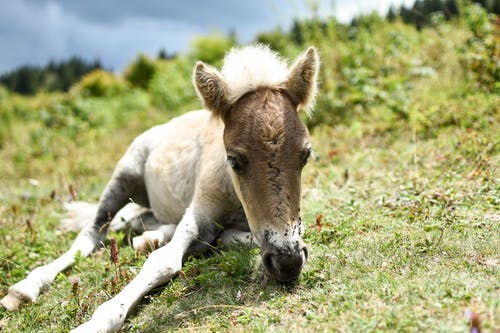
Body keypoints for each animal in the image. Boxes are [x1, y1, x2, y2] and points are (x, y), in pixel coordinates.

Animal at [0, 44, 318, 332]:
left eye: (306, 154)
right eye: (234, 160)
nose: (287, 261)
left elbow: (233, 238)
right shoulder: (200, 207)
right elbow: (163, 261)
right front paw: (94, 324)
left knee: (132, 221)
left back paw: (149, 237)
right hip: (125, 174)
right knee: (91, 235)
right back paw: (23, 289)